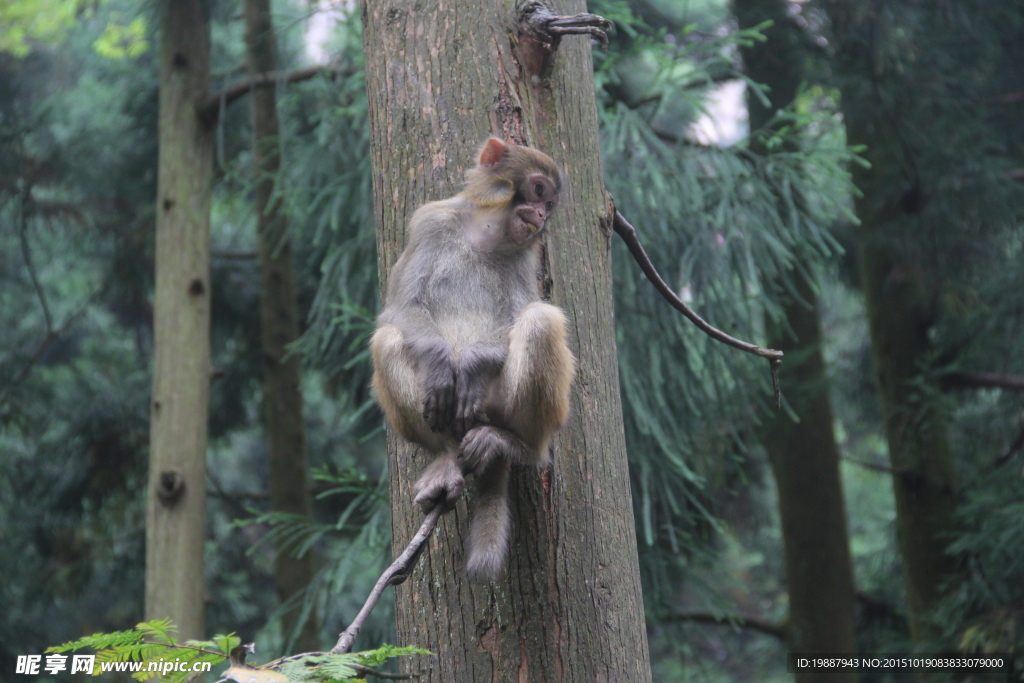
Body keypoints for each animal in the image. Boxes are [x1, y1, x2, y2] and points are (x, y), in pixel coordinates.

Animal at [368, 139, 577, 581]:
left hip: (499, 402)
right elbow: (401, 308)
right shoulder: (429, 222)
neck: (486, 236)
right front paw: (441, 366)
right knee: (388, 340)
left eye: (550, 205)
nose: (540, 215)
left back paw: (516, 446)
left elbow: (519, 315)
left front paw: (472, 365)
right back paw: (448, 457)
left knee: (540, 321)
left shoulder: (527, 255)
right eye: (538, 191)